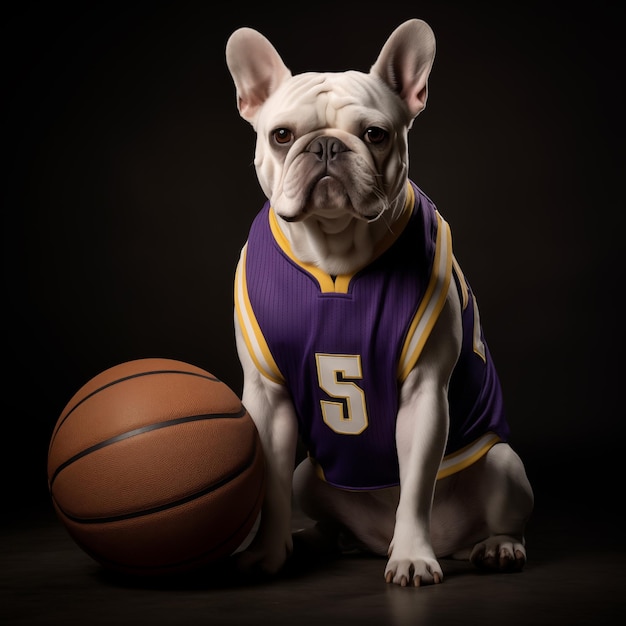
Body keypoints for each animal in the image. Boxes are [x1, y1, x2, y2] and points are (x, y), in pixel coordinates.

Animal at [224, 18, 532, 584]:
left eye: (374, 134)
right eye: (282, 136)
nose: (326, 146)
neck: (334, 250)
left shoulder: (424, 394)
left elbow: (415, 486)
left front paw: (411, 555)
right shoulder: (268, 398)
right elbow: (270, 488)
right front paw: (266, 554)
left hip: (504, 465)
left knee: (502, 518)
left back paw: (497, 548)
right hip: (309, 476)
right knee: (324, 517)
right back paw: (315, 541)